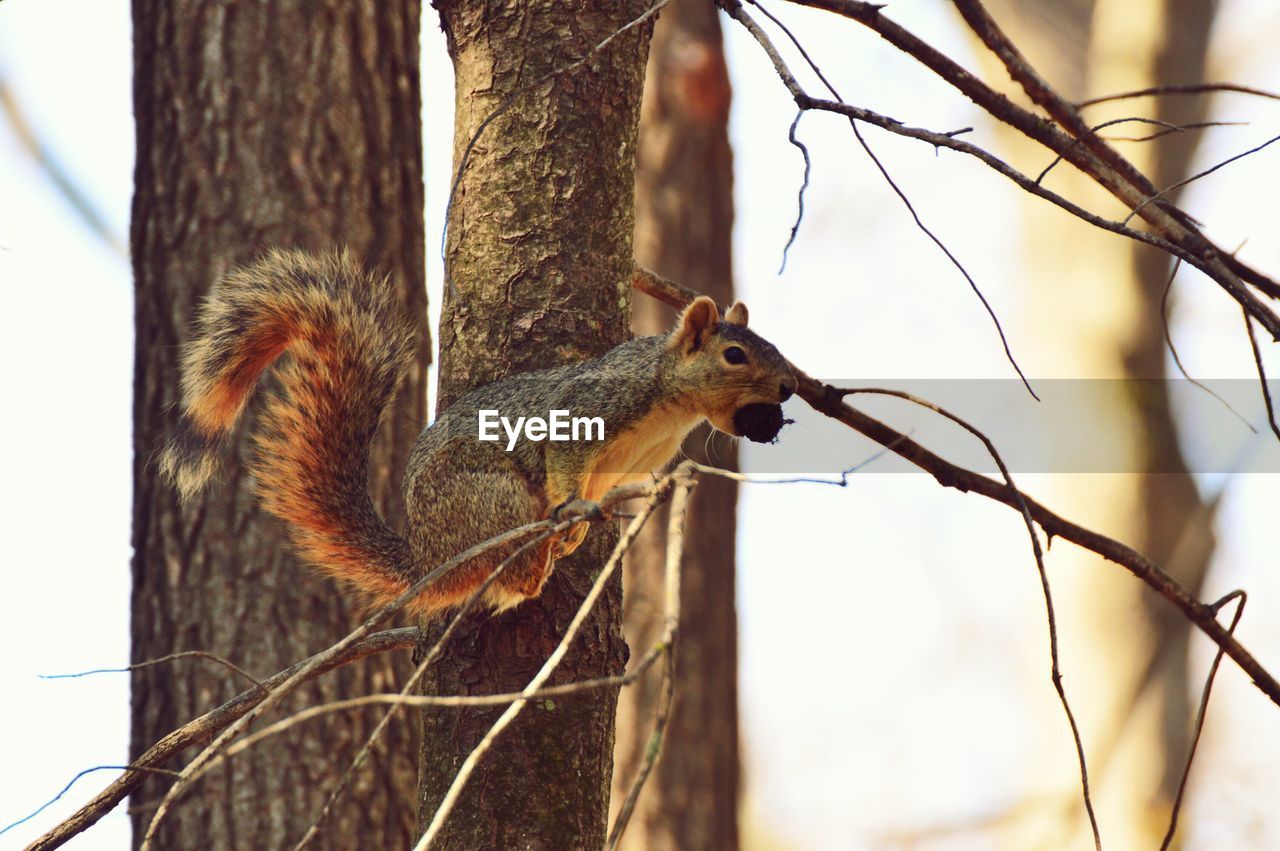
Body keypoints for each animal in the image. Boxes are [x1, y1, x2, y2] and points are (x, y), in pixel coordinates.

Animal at [161, 249, 793, 614]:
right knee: (508, 572)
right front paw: (570, 514)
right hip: (489, 498)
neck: (671, 402)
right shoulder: (593, 405)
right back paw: (533, 567)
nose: (789, 386)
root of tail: (429, 558)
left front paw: (579, 532)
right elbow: (564, 457)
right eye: (735, 355)